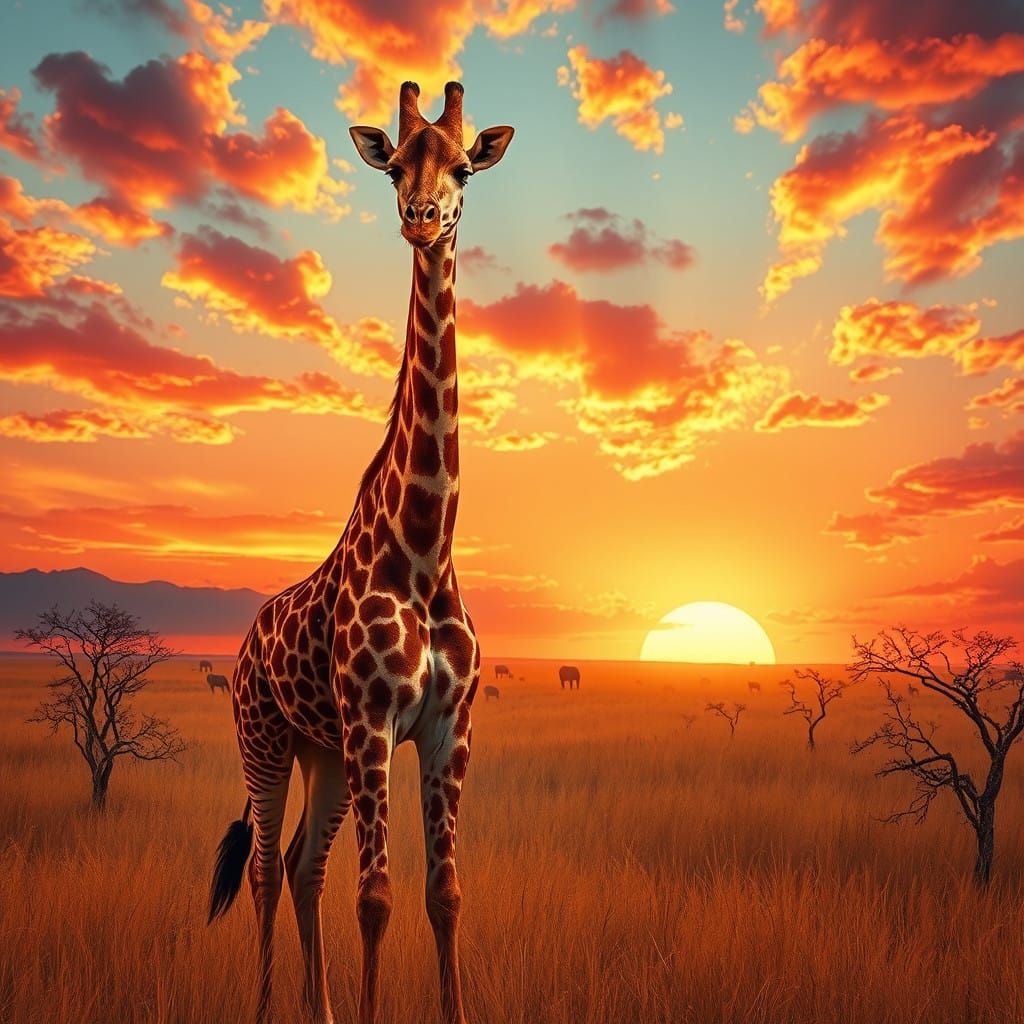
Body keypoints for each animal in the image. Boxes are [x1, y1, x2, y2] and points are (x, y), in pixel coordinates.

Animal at [208, 80, 514, 1024]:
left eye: (463, 169)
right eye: (393, 168)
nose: (422, 218)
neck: (423, 553)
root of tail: (242, 643)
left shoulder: (447, 729)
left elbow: (444, 894)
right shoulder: (376, 720)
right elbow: (375, 897)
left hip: (327, 754)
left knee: (304, 864)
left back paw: (320, 1010)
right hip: (266, 738)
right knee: (267, 869)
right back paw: (265, 1008)